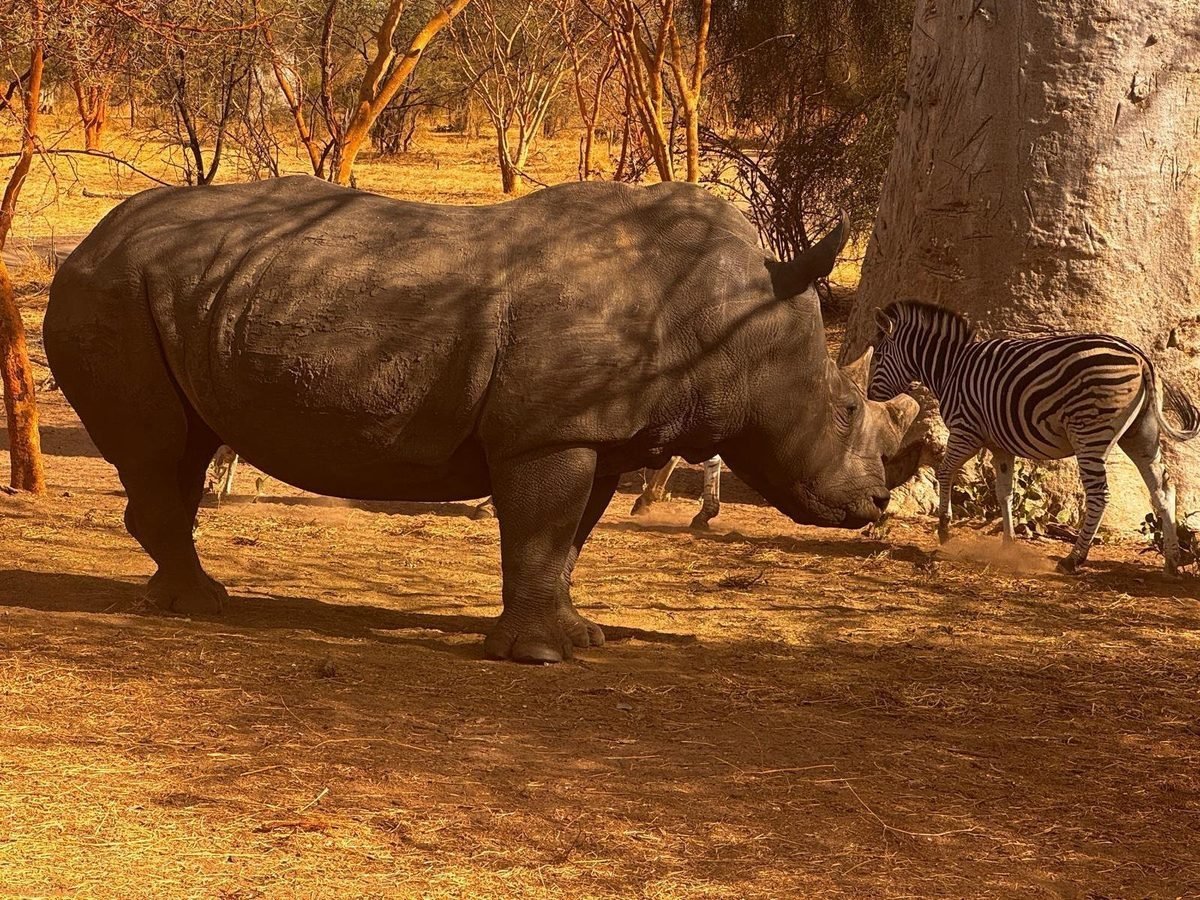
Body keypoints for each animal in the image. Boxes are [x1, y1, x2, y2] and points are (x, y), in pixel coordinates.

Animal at [868, 300, 1200, 574]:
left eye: (879, 356)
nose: (870, 398)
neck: (950, 369)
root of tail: (1141, 357)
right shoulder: (999, 445)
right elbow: (1005, 491)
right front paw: (1008, 542)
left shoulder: (966, 431)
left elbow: (945, 472)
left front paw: (944, 529)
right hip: (1140, 433)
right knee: (1163, 489)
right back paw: (1172, 560)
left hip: (1090, 434)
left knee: (1099, 495)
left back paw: (1074, 559)